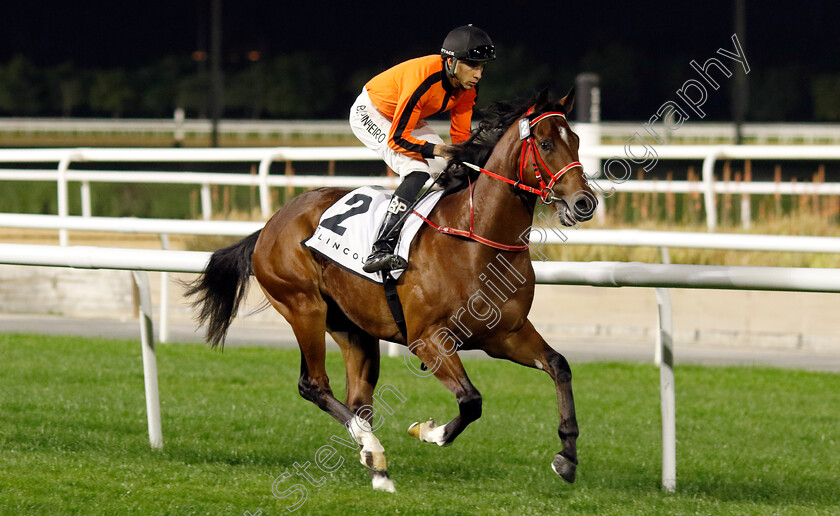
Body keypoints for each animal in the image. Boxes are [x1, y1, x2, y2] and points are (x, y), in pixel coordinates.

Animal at [189, 88, 596, 492]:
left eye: (576, 141)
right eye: (545, 143)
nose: (584, 202)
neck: (476, 239)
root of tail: (272, 223)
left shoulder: (506, 334)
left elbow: (559, 365)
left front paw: (567, 456)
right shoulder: (428, 339)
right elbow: (471, 400)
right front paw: (428, 431)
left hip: (353, 328)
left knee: (358, 400)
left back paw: (375, 464)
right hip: (303, 308)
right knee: (313, 385)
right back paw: (373, 449)